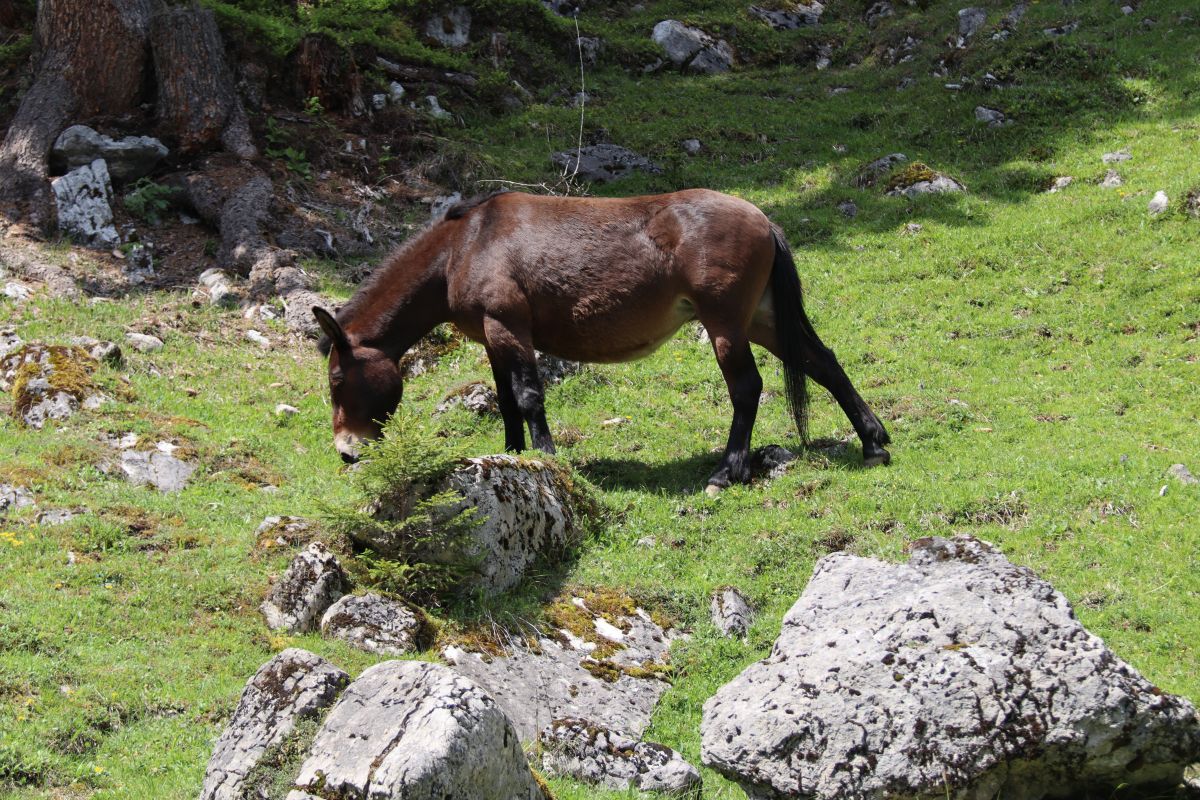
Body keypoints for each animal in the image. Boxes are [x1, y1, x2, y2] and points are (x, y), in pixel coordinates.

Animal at [319, 190, 892, 491]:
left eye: (337, 378)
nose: (346, 453)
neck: (468, 243)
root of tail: (762, 218)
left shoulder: (508, 327)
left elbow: (529, 397)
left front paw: (546, 460)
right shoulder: (491, 339)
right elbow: (506, 403)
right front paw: (509, 458)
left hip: (727, 324)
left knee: (747, 388)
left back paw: (726, 471)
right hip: (761, 319)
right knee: (823, 362)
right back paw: (872, 441)